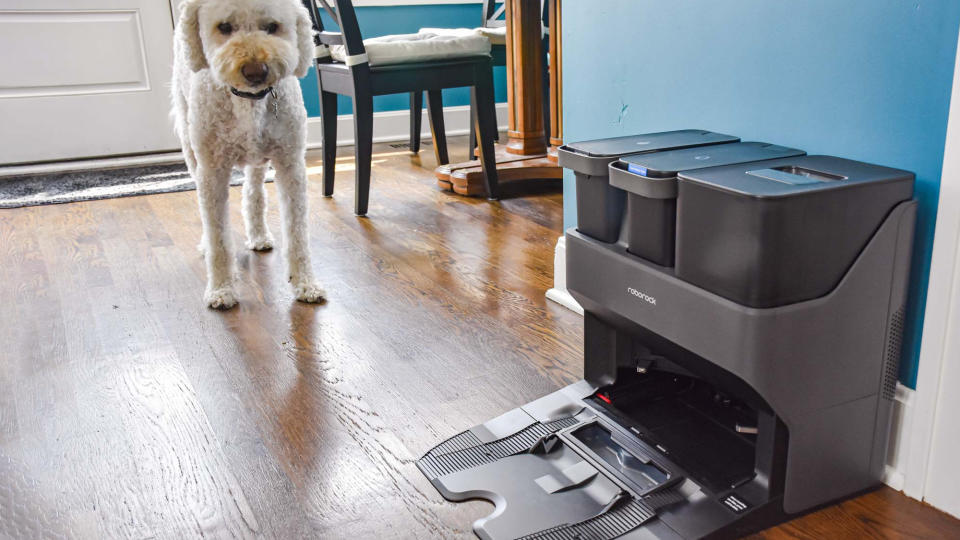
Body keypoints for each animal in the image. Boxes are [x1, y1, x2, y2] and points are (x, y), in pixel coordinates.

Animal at [171, 0, 324, 308]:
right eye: (224, 27)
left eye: (272, 27)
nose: (256, 71)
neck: (249, 102)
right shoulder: (212, 172)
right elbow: (218, 238)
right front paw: (221, 289)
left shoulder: (291, 165)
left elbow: (298, 234)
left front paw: (305, 283)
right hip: (191, 149)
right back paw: (205, 244)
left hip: (259, 159)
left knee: (253, 193)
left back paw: (259, 234)